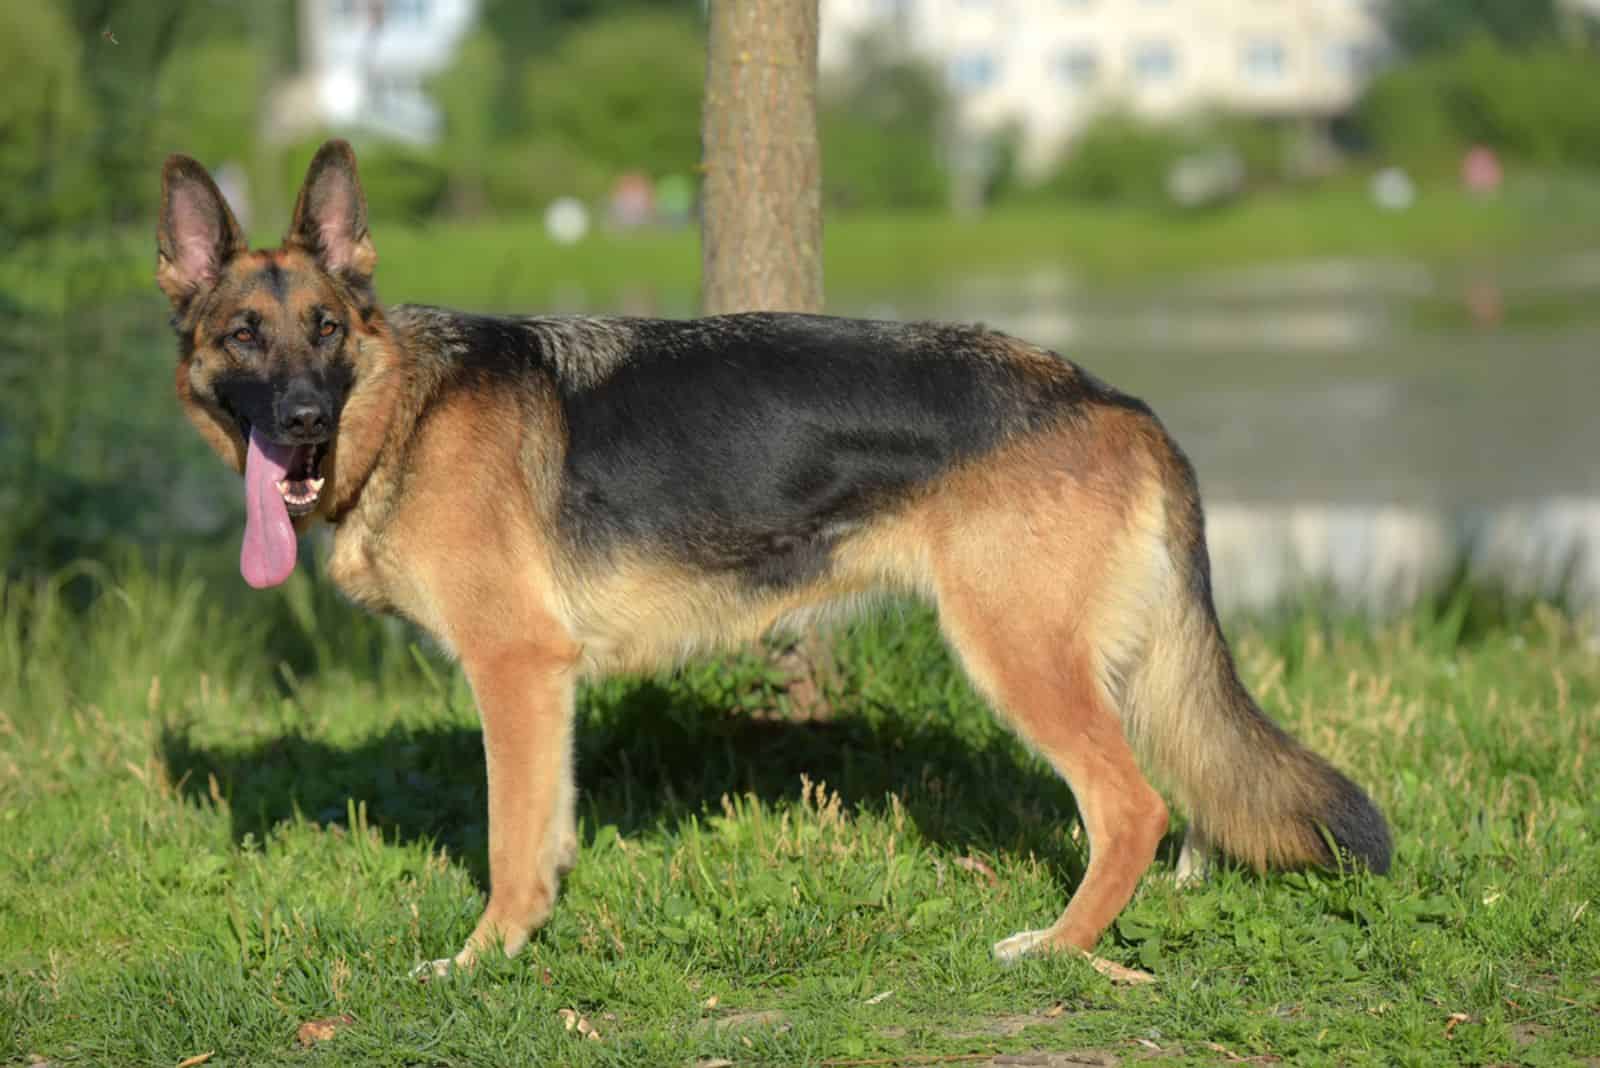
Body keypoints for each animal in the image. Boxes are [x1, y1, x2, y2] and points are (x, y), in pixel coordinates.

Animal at [159, 146, 1388, 978]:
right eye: (243, 337)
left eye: (325, 328)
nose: (303, 422)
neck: (404, 411)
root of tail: (1115, 401)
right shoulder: (543, 690)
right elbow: (544, 833)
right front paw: (527, 940)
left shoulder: (515, 670)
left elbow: (509, 841)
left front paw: (480, 963)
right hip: (1110, 664)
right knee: (1179, 796)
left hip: (1018, 658)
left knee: (1132, 806)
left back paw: (1056, 947)